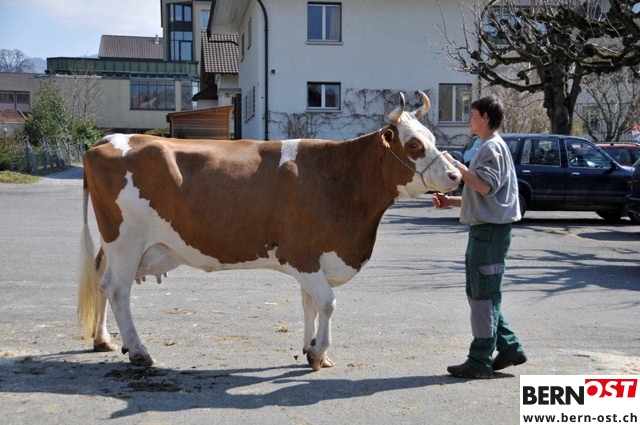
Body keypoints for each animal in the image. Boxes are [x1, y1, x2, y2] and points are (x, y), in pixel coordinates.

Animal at [78, 91, 461, 370]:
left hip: (116, 244)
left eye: (432, 137)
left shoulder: (314, 258)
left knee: (101, 278)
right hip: (126, 241)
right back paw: (139, 351)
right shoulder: (302, 255)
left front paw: (311, 349)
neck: (339, 177)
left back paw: (104, 339)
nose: (456, 175)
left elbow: (310, 304)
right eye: (414, 145)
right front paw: (319, 352)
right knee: (118, 289)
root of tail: (107, 140)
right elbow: (327, 303)